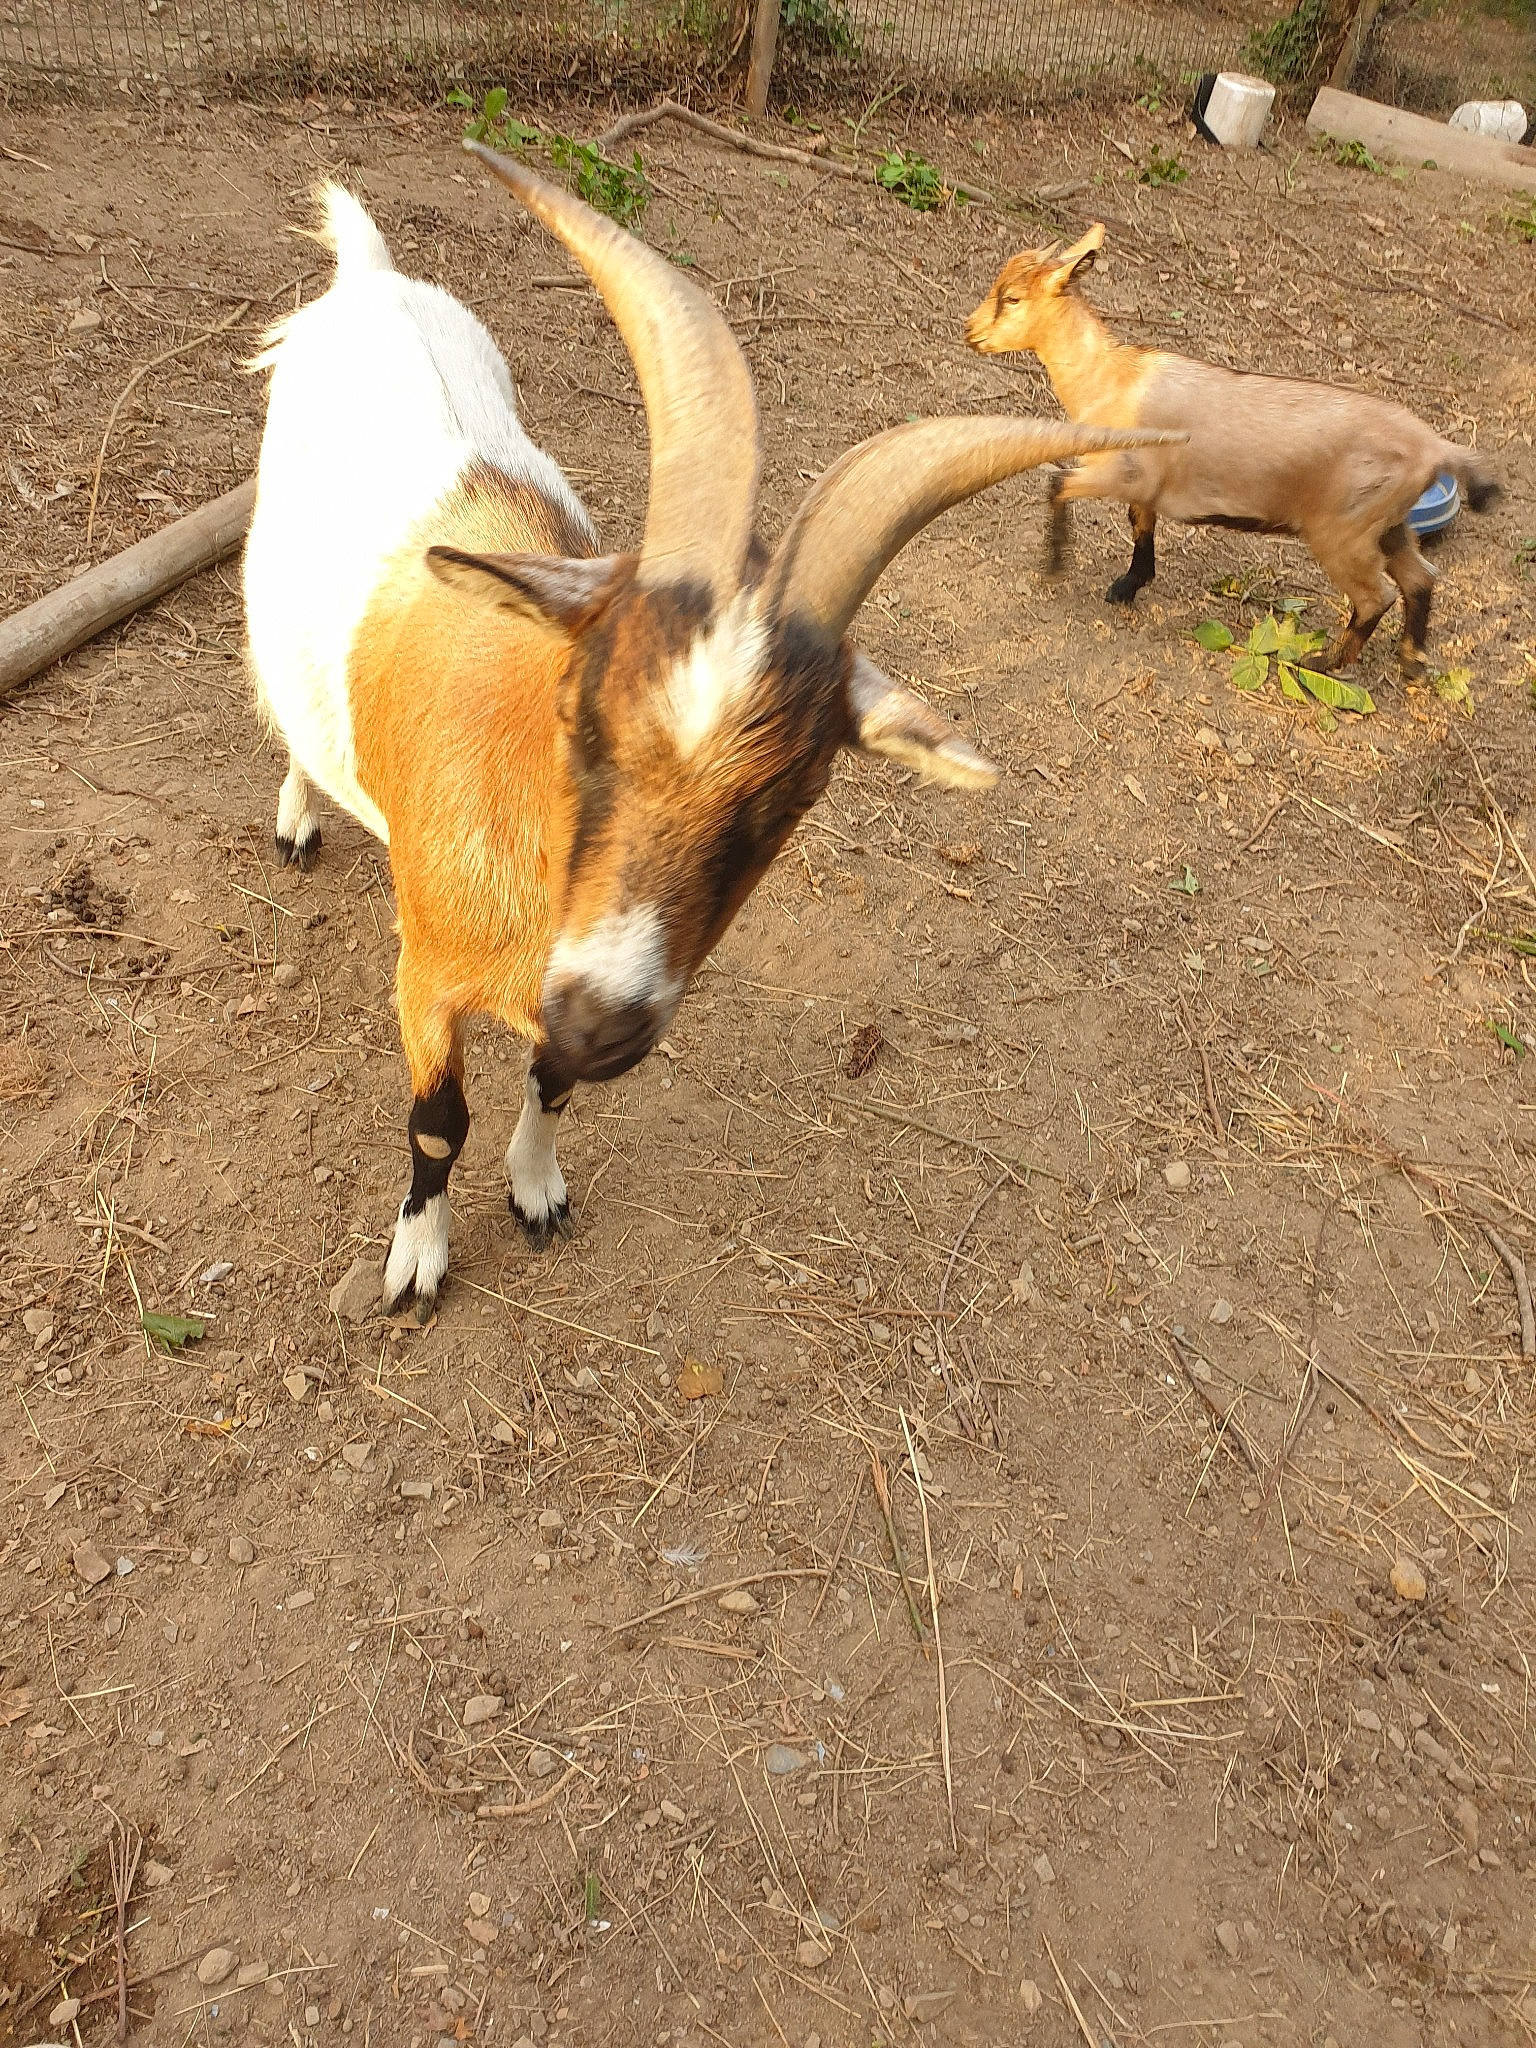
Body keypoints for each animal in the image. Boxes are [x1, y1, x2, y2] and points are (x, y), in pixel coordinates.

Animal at [244, 151, 1174, 1318]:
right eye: (579, 718)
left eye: (794, 794)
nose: (605, 1021)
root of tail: (370, 277)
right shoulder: (426, 978)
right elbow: (436, 1122)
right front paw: (418, 1257)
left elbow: (550, 1082)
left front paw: (538, 1190)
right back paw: (296, 819)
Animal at [965, 224, 1498, 680]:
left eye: (1011, 298)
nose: (971, 331)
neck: (1113, 377)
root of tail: (1434, 447)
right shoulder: (1146, 484)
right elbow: (1141, 526)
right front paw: (1128, 585)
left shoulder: (1123, 471)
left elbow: (1057, 483)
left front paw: (1055, 566)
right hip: (1388, 523)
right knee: (1420, 579)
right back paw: (1411, 661)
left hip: (1344, 530)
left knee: (1376, 595)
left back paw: (1325, 663)